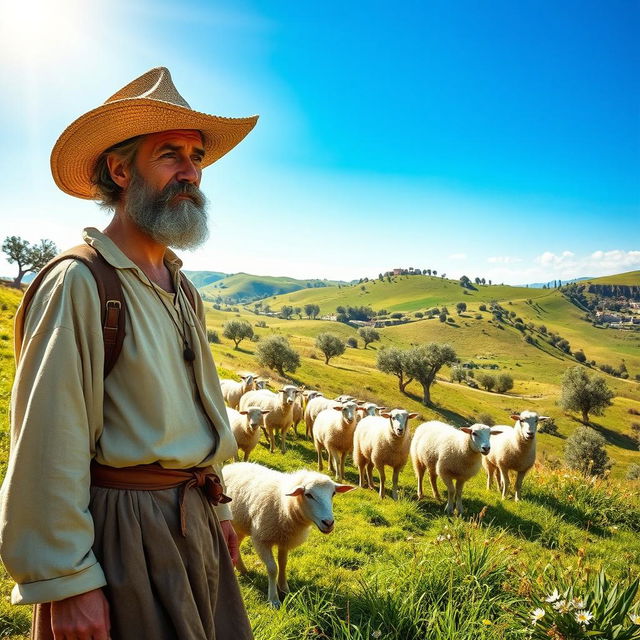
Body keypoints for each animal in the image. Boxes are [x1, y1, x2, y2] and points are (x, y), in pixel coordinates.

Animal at [222, 462, 356, 608]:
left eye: (333, 493)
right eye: (308, 495)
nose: (329, 523)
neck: (283, 504)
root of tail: (231, 465)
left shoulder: (285, 539)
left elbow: (283, 563)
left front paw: (284, 589)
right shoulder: (261, 539)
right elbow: (273, 568)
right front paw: (274, 599)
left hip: (239, 526)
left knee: (236, 544)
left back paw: (242, 569)